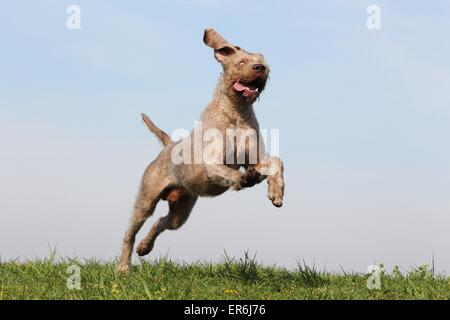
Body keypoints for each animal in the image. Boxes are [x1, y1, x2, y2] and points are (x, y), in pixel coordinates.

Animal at [116, 28, 284, 272]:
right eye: (242, 62)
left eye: (263, 62)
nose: (260, 68)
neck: (236, 114)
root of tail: (168, 145)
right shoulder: (212, 164)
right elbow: (230, 172)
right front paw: (243, 179)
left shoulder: (255, 159)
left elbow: (277, 162)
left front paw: (276, 192)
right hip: (146, 199)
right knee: (130, 232)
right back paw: (123, 267)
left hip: (181, 209)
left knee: (161, 222)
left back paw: (144, 248)